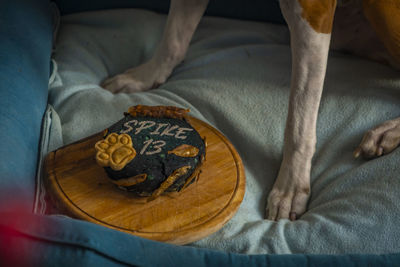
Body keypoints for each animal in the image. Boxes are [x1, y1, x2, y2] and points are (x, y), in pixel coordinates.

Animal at [100, 0, 400, 222]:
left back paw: (388, 131)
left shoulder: (312, 10)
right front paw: (145, 76)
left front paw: (290, 187)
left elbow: (300, 116)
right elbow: (174, 39)